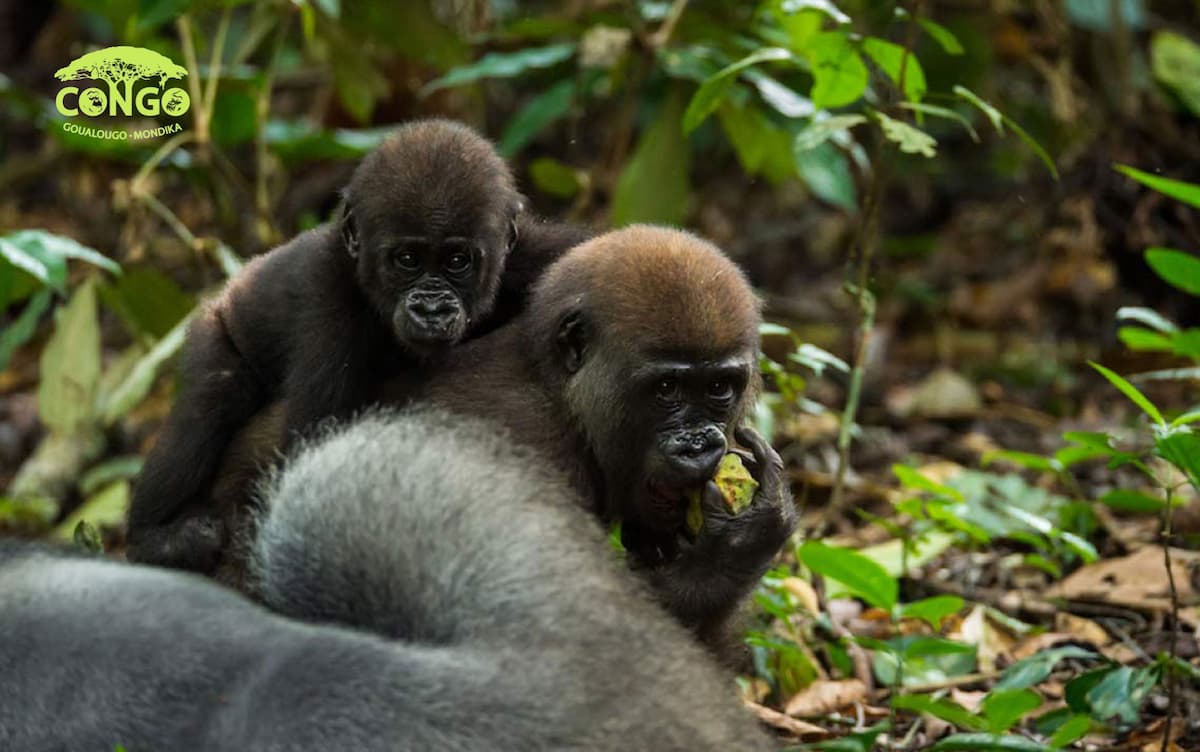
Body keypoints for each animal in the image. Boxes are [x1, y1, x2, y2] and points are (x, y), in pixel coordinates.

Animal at [125, 119, 593, 576]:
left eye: (458, 261)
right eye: (407, 260)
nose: (431, 308)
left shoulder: (530, 254)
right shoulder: (331, 306)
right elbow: (313, 455)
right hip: (216, 325)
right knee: (213, 399)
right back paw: (154, 540)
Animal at [205, 225, 797, 661]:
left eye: (719, 388)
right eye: (667, 389)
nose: (699, 445)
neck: (557, 394)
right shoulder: (528, 446)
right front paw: (737, 550)